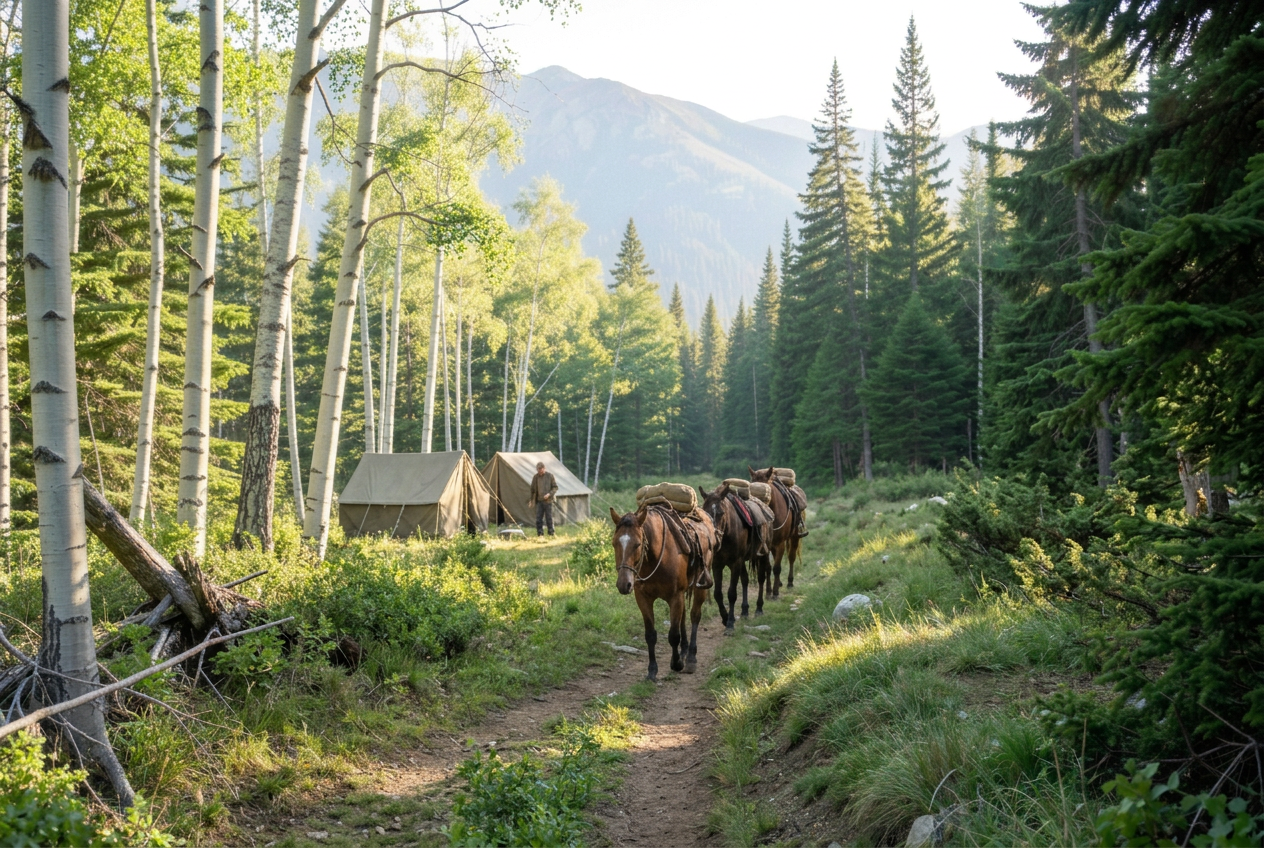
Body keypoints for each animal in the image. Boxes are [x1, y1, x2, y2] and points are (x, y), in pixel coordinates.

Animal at [609, 506, 715, 680]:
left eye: (637, 544)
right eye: (614, 543)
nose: (624, 584)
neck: (657, 556)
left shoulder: (675, 597)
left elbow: (673, 635)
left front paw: (677, 663)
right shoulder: (643, 598)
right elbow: (650, 635)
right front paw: (652, 670)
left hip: (700, 587)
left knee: (694, 616)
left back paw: (690, 658)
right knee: (683, 617)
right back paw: (684, 651)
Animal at [699, 484, 771, 626]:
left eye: (721, 513)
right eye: (705, 512)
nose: (714, 541)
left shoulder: (735, 563)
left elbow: (732, 593)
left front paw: (730, 622)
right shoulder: (718, 565)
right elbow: (718, 594)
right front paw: (725, 617)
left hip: (762, 554)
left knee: (761, 578)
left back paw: (759, 608)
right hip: (743, 561)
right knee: (745, 580)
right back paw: (744, 611)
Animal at [748, 466, 803, 597]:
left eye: (766, 491)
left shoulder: (780, 543)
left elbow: (777, 568)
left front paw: (775, 593)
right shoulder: (765, 546)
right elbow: (768, 567)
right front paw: (768, 591)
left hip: (794, 537)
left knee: (791, 557)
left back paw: (789, 582)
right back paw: (779, 583)